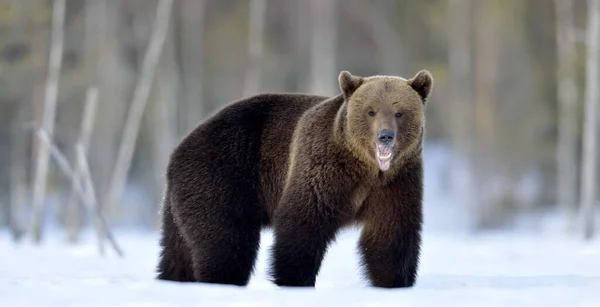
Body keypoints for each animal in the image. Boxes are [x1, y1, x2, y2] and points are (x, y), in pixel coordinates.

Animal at [157, 69, 434, 288]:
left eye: (399, 112)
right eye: (371, 111)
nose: (385, 136)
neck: (365, 169)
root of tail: (177, 149)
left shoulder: (397, 182)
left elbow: (391, 235)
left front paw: (395, 282)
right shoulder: (321, 168)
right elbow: (302, 224)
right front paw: (295, 280)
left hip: (182, 199)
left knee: (178, 252)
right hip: (223, 172)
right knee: (227, 242)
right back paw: (221, 281)